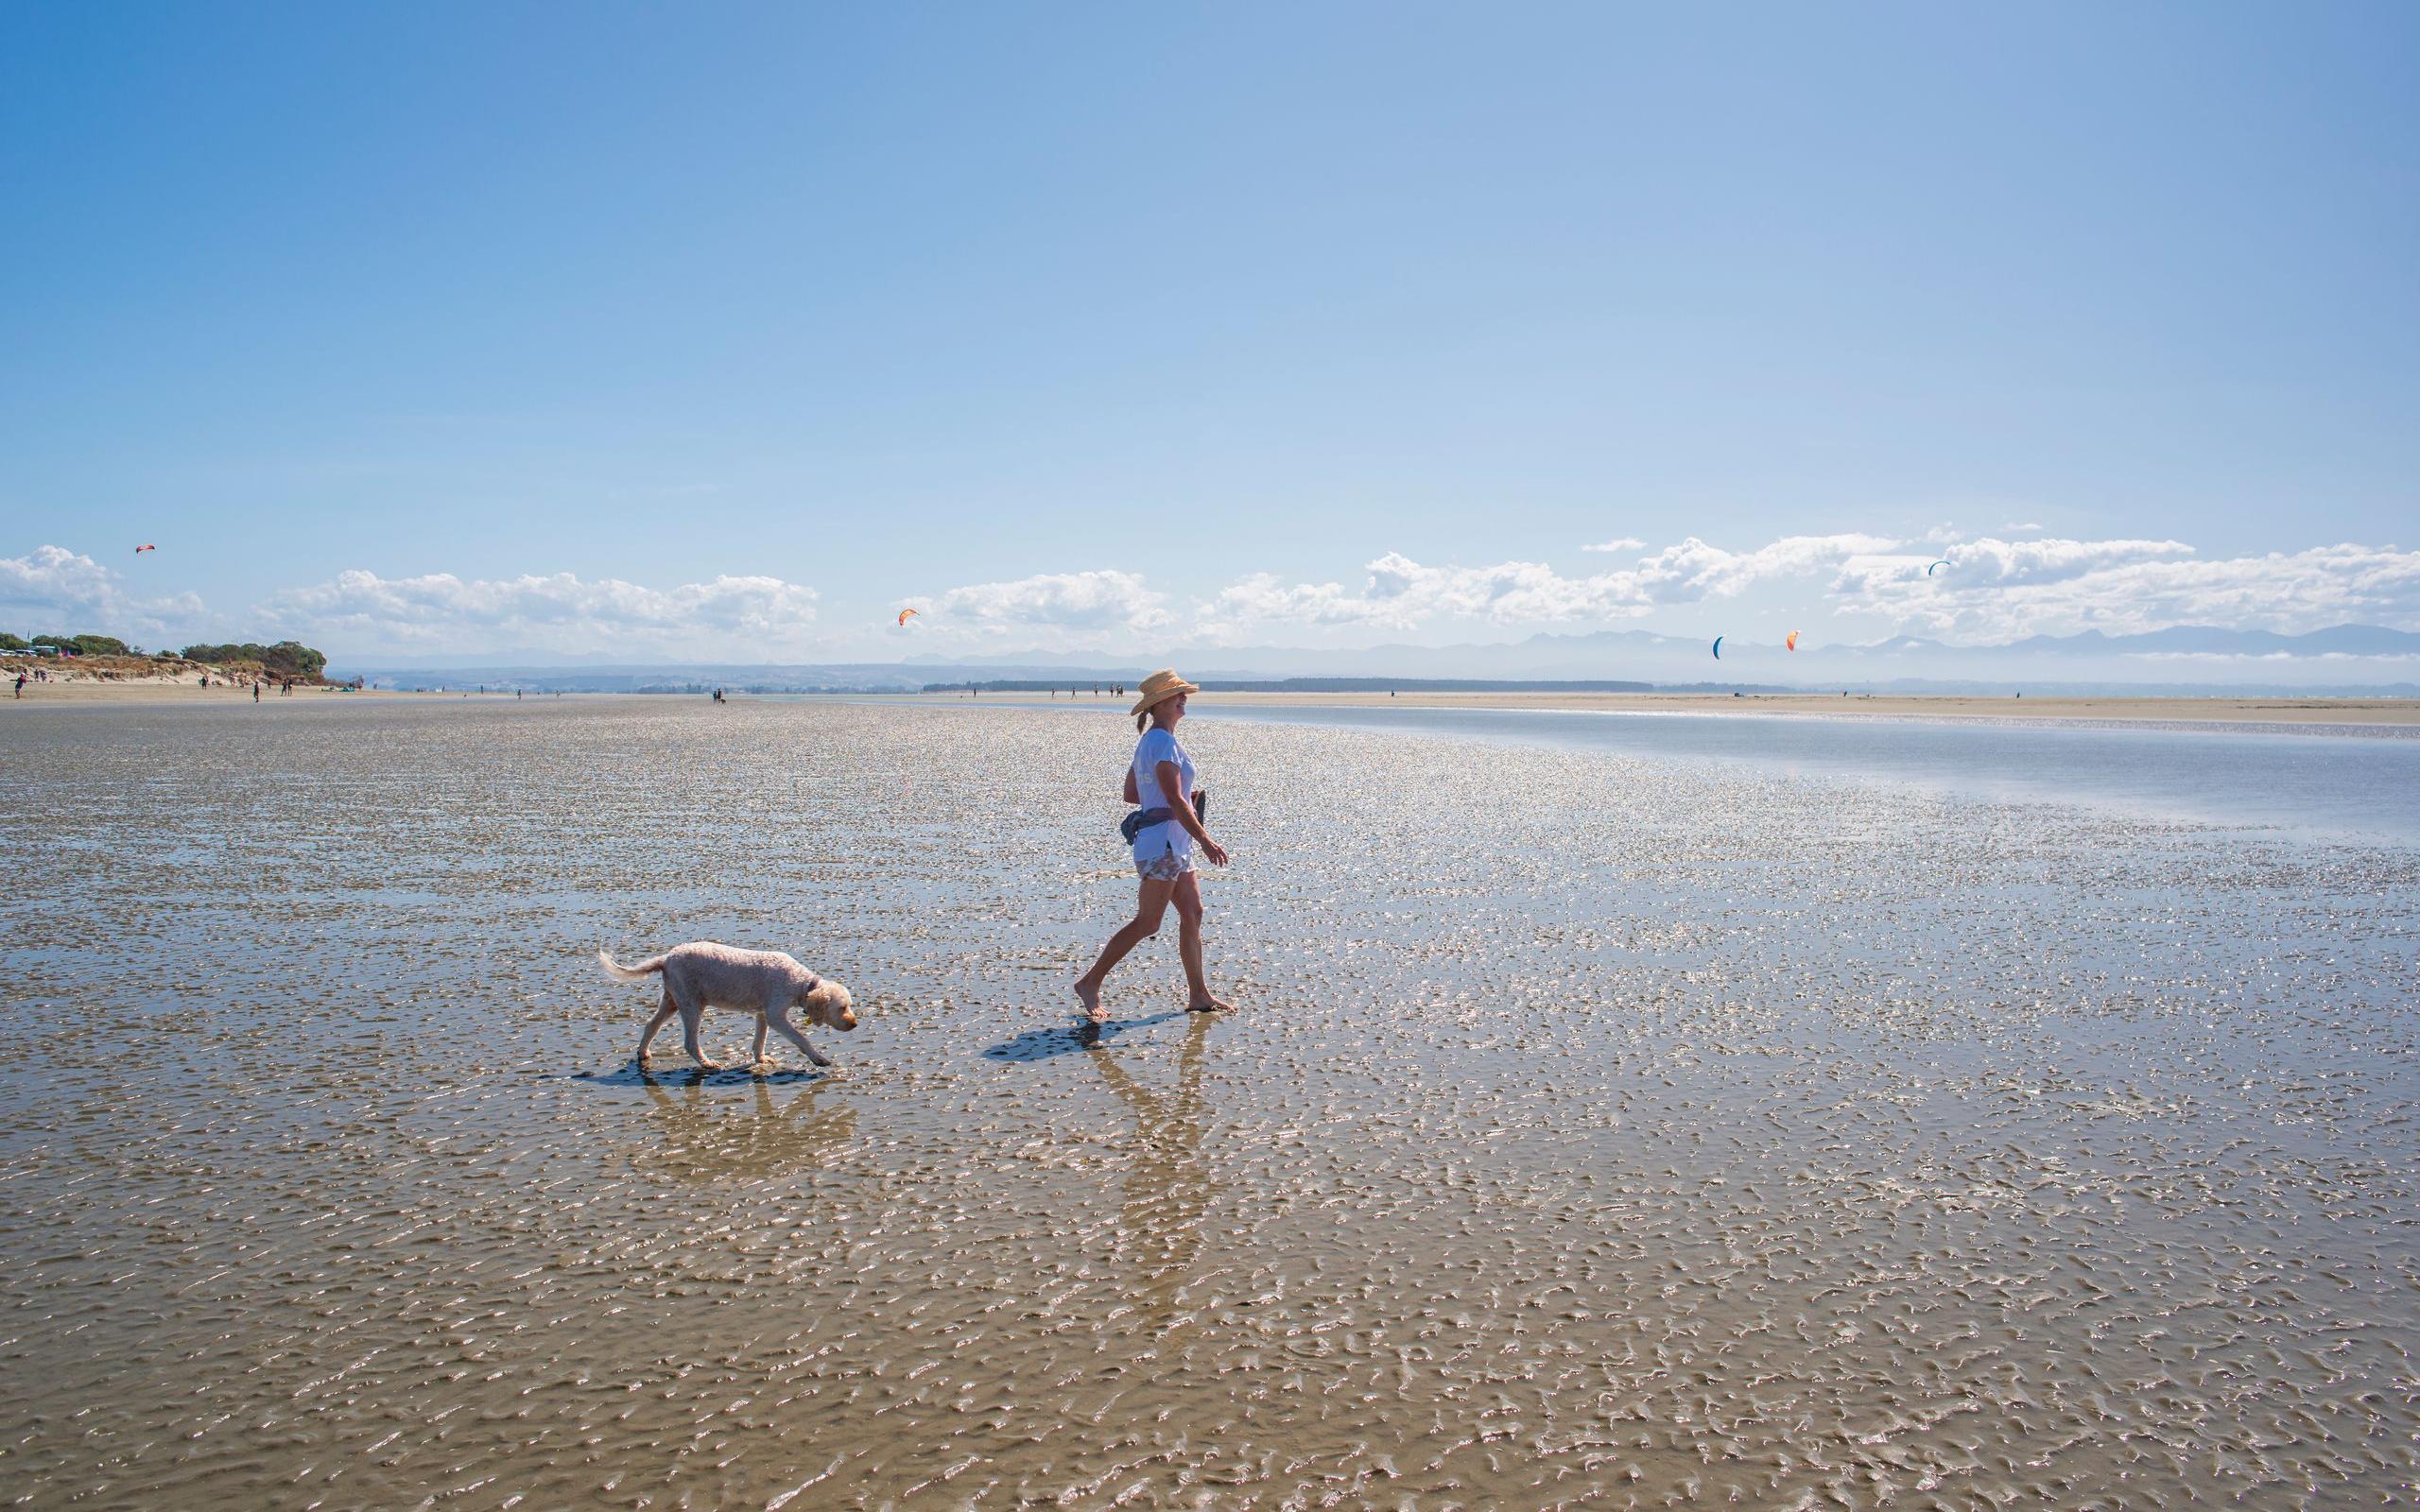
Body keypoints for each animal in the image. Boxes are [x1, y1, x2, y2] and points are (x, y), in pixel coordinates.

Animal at [597, 938, 856, 1069]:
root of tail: (667, 958)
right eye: (842, 1008)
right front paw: (818, 1058)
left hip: (672, 1000)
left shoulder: (762, 1013)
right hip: (691, 1003)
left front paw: (761, 1059)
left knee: (651, 1025)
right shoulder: (775, 1014)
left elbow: (760, 1040)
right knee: (690, 1042)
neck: (801, 983)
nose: (854, 1024)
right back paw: (707, 1063)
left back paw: (643, 1053)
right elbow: (801, 1038)